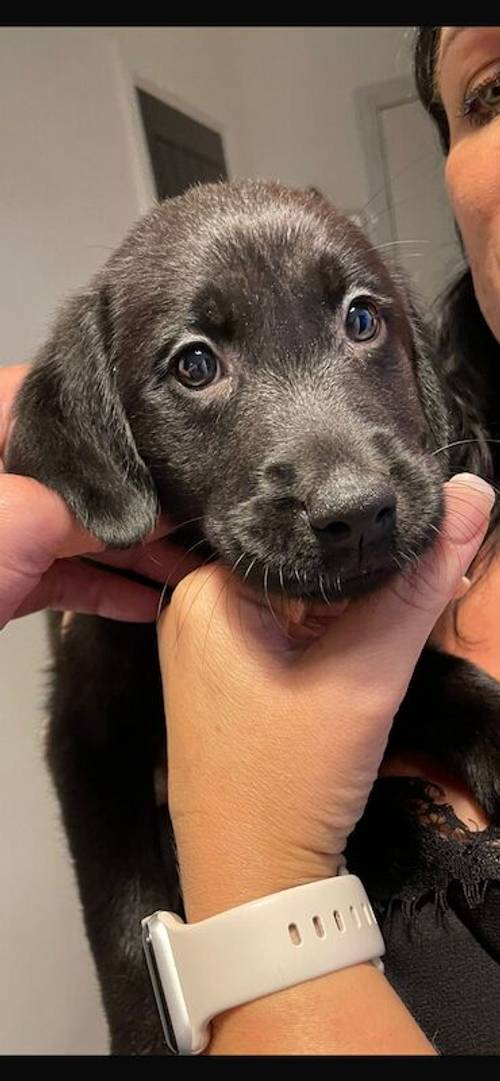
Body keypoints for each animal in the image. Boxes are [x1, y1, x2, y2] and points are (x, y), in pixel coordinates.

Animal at [5, 181, 500, 1050]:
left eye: (362, 319)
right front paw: (144, 1034)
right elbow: (125, 913)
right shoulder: (84, 739)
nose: (357, 513)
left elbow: (446, 681)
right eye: (195, 364)